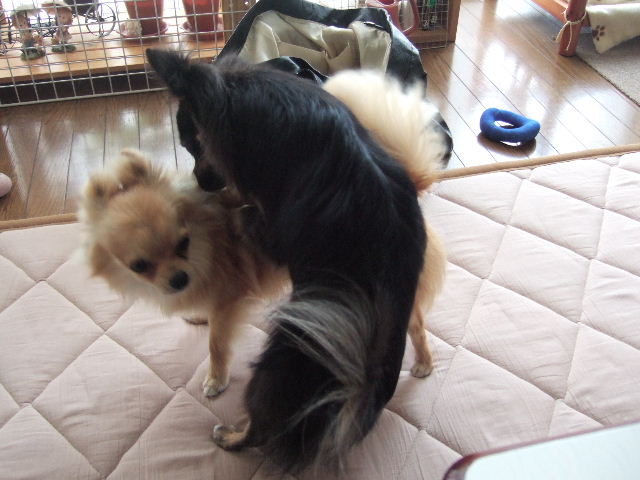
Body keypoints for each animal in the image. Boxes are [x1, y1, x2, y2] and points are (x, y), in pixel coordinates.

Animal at [127, 49, 448, 473]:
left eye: (196, 146)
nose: (201, 183)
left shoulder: (272, 233)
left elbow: (245, 213)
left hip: (283, 362)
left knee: (263, 428)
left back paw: (231, 436)